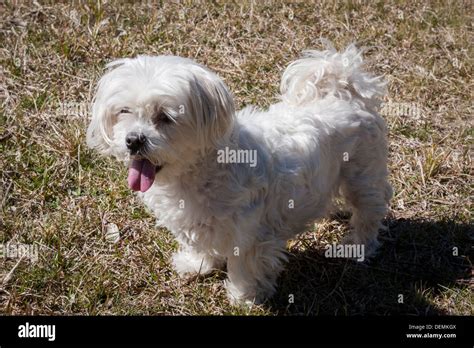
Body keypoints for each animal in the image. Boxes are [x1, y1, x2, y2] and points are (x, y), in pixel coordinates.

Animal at [87, 43, 390, 304]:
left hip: (363, 176)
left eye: (165, 117)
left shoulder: (250, 234)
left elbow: (244, 265)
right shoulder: (193, 222)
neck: (196, 173)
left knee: (368, 212)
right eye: (124, 111)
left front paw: (244, 296)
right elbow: (200, 245)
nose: (133, 140)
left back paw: (359, 244)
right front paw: (196, 265)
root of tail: (345, 92)